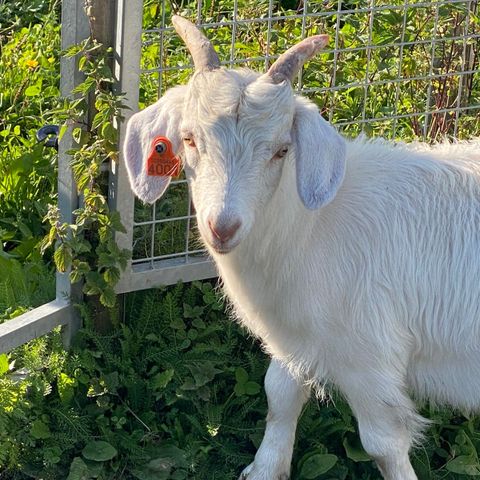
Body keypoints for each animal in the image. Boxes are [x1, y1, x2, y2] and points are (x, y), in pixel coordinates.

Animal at [124, 15, 480, 480]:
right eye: (188, 139)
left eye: (282, 150)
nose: (222, 227)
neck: (313, 227)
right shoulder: (293, 334)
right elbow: (279, 394)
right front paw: (264, 468)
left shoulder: (367, 356)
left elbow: (383, 445)